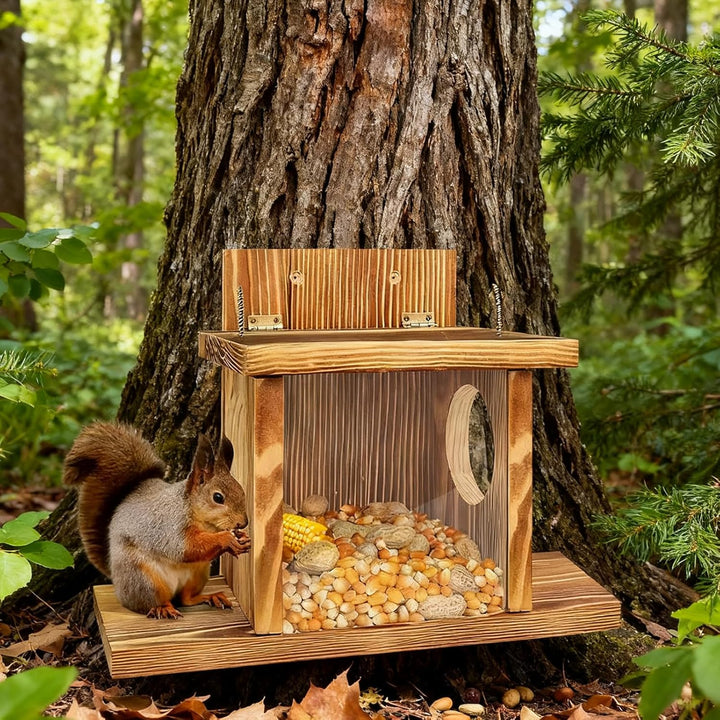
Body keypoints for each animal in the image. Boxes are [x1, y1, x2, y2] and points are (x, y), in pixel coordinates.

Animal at [63, 422, 250, 619]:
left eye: (242, 491)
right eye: (218, 497)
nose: (243, 523)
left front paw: (243, 539)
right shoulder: (169, 526)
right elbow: (185, 547)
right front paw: (226, 538)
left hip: (197, 575)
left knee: (186, 599)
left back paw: (211, 597)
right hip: (144, 579)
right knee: (151, 603)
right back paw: (163, 608)